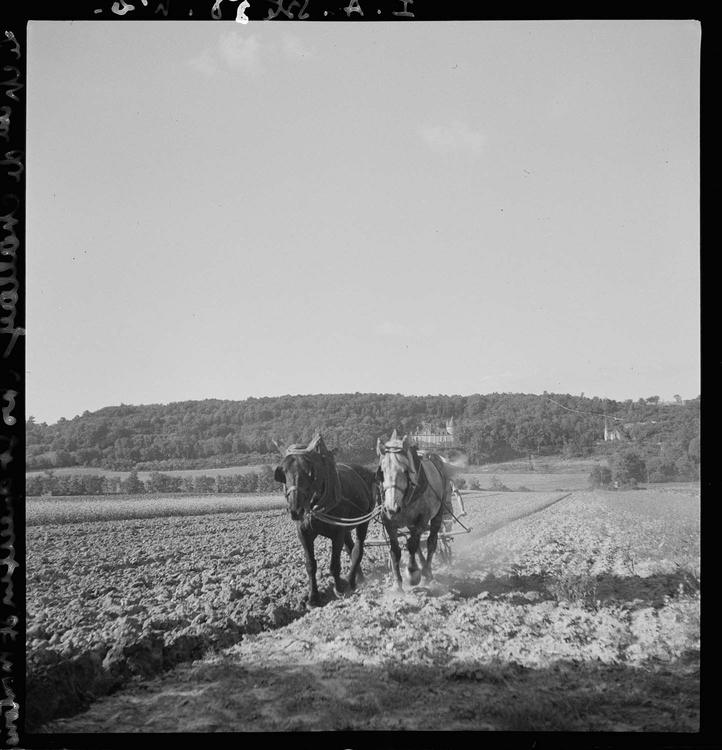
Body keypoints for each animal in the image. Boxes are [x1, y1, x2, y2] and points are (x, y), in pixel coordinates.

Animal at [272, 432, 374, 608]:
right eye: (283, 472)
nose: (296, 510)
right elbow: (310, 565)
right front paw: (313, 598)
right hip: (347, 526)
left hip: (363, 521)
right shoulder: (304, 533)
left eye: (309, 472)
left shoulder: (337, 532)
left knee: (358, 549)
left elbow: (335, 564)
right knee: (351, 548)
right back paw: (357, 579)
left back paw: (352, 580)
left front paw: (339, 589)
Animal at [374, 432, 452, 592]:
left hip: (437, 514)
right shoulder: (388, 523)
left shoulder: (422, 518)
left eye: (405, 471)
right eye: (381, 473)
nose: (392, 508)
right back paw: (423, 567)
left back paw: (427, 572)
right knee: (416, 543)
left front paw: (413, 574)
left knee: (430, 542)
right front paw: (397, 584)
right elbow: (395, 551)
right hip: (410, 523)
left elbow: (413, 545)